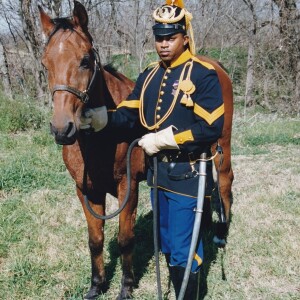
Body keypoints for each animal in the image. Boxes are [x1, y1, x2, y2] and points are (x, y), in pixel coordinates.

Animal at [38, 1, 233, 298]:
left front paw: (126, 287)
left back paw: (220, 233)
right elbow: (95, 239)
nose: (62, 129)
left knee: (223, 182)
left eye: (85, 60)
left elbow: (125, 238)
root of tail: (215, 66)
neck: (99, 142)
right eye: (45, 63)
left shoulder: (126, 187)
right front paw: (97, 285)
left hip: (222, 144)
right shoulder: (85, 189)